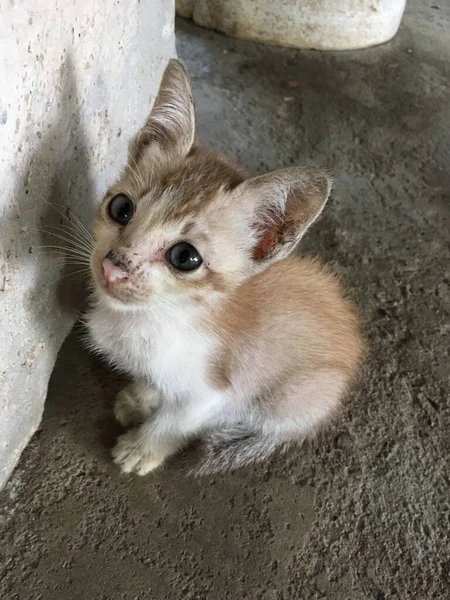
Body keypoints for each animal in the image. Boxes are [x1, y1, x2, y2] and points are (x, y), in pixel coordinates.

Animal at [86, 58, 364, 476]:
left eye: (185, 257)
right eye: (121, 208)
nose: (113, 267)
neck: (154, 319)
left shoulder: (216, 391)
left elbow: (177, 419)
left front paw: (142, 448)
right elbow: (155, 381)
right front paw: (140, 398)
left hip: (294, 395)